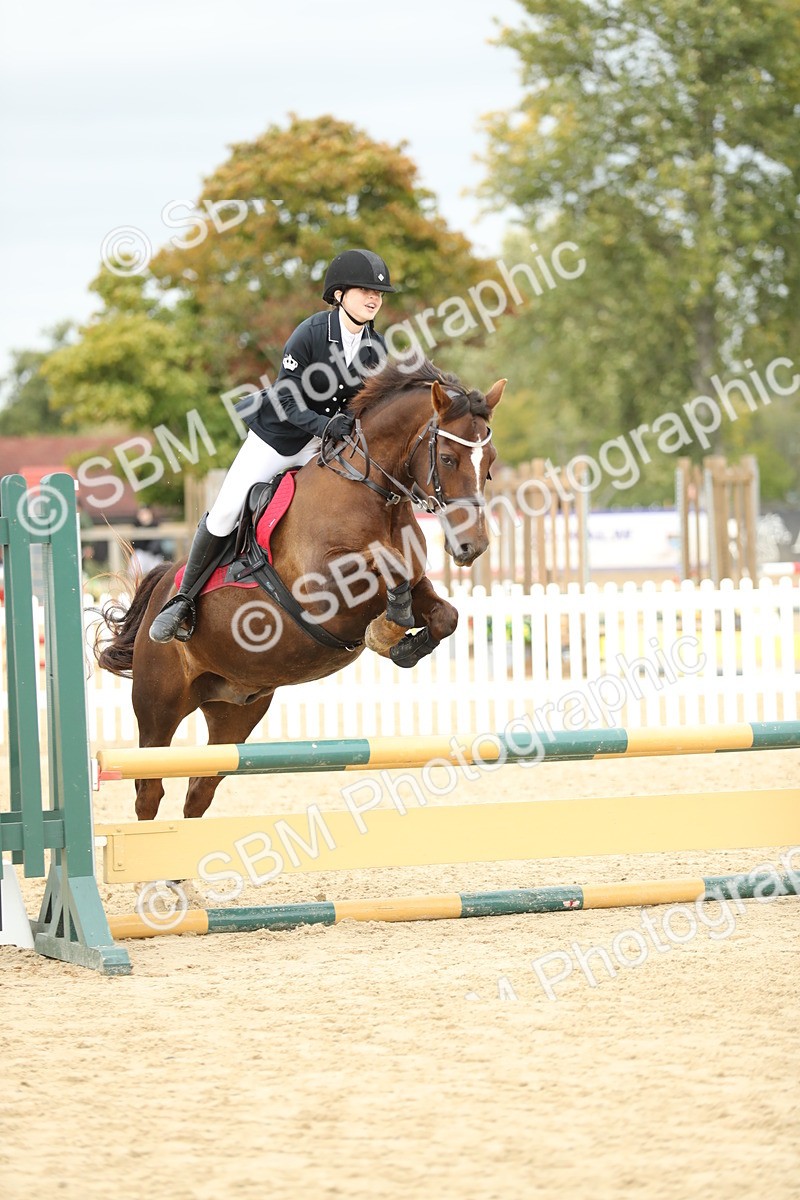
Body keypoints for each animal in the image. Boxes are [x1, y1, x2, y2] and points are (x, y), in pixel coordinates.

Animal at [96, 359, 505, 821]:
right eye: (449, 459)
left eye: (490, 461)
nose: (472, 547)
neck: (369, 491)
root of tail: (162, 589)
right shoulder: (324, 586)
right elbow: (387, 565)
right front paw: (388, 630)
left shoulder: (415, 586)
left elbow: (442, 613)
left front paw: (401, 644)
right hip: (159, 706)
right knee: (148, 791)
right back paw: (173, 616)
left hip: (236, 711)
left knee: (199, 790)